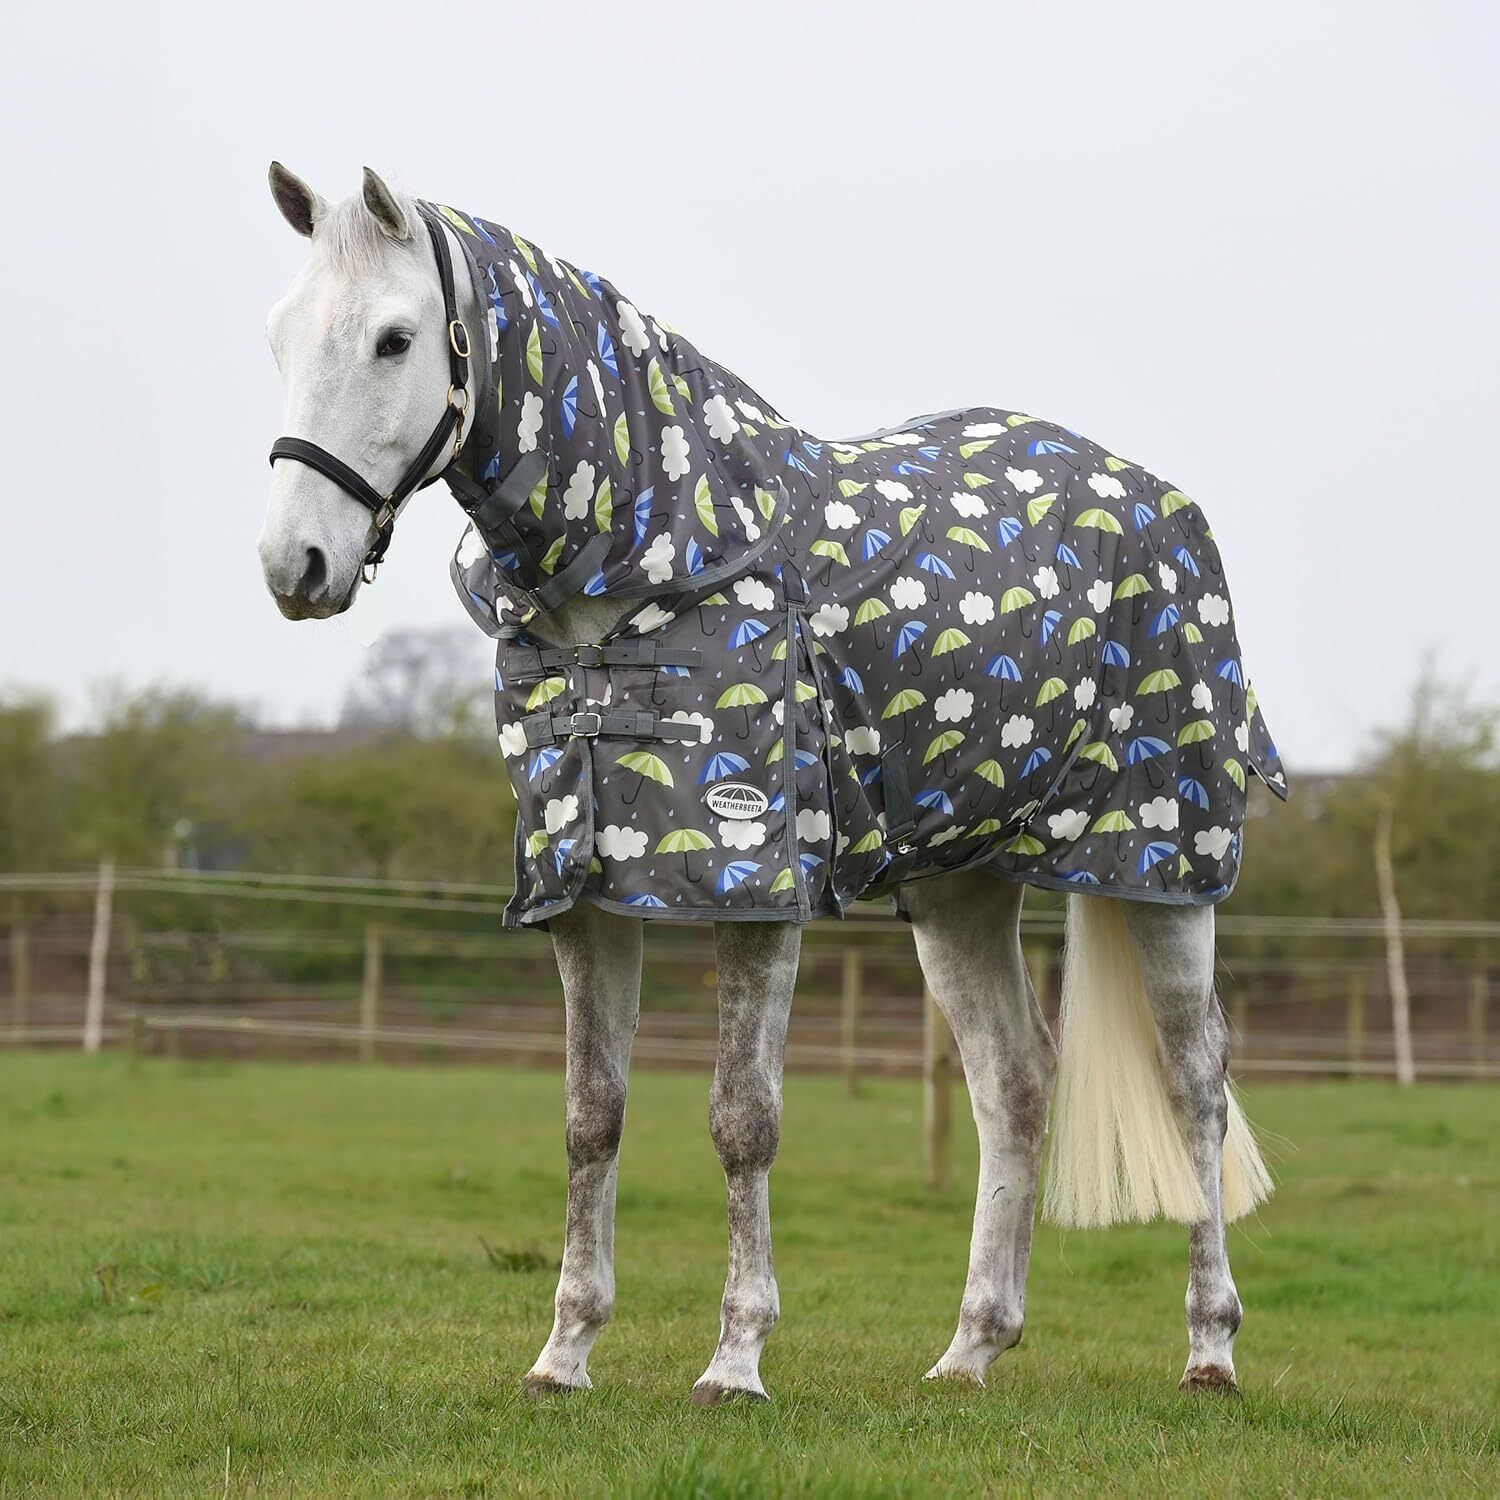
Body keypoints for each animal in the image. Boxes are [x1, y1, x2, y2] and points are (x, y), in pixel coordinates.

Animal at [258, 164, 1283, 1403]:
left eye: (395, 339)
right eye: (279, 338)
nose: (293, 566)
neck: (652, 574)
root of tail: (1157, 501)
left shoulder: (753, 884)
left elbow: (742, 1121)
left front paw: (736, 1360)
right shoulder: (584, 894)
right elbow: (590, 1119)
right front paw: (565, 1353)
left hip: (1162, 865)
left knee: (1196, 1082)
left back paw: (1212, 1351)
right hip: (960, 886)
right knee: (1015, 1083)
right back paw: (969, 1350)